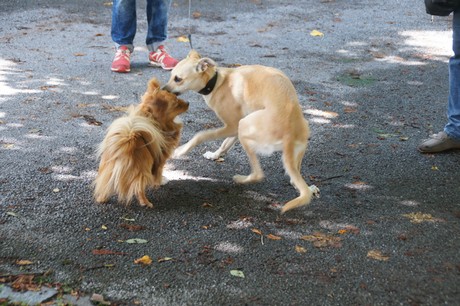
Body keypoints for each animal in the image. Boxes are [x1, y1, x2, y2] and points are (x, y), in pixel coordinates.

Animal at [93, 78, 189, 208]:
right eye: (176, 103)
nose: (188, 102)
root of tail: (128, 141)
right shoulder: (160, 160)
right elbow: (159, 173)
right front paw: (160, 182)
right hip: (142, 170)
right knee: (138, 187)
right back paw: (146, 203)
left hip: (109, 169)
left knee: (106, 184)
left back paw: (102, 199)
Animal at [165, 49, 320, 213]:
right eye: (171, 75)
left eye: (177, 79)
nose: (162, 90)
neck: (217, 82)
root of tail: (289, 133)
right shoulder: (234, 129)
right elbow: (225, 145)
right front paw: (214, 155)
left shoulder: (232, 126)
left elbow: (200, 136)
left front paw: (181, 150)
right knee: (294, 177)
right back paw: (308, 188)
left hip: (244, 126)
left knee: (258, 174)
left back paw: (241, 179)